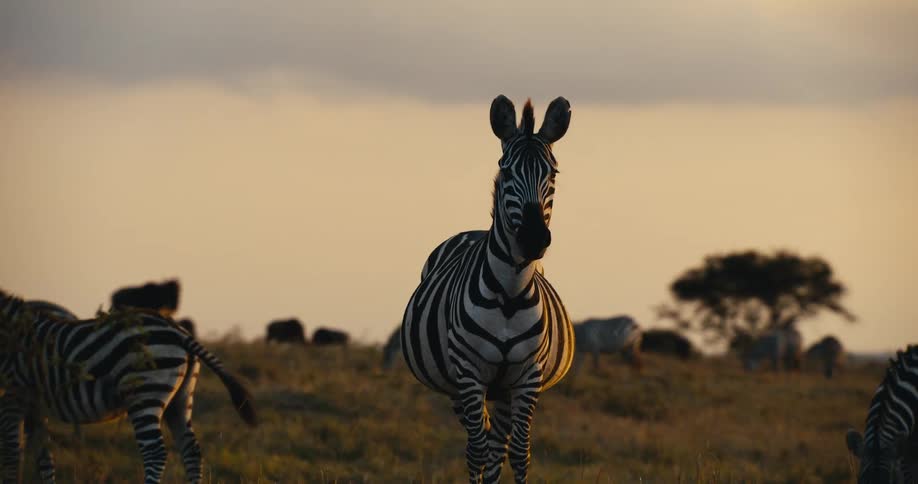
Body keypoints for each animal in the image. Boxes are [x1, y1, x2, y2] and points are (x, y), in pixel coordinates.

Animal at [0, 292, 257, 484]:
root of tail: (178, 330)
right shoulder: (33, 404)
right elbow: (42, 457)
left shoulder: (13, 396)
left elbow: (12, 455)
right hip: (181, 398)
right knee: (191, 451)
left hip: (145, 394)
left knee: (155, 453)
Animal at [401, 95, 574, 483]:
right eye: (506, 172)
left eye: (553, 174)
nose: (533, 238)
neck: (509, 292)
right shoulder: (469, 372)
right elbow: (477, 450)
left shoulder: (527, 377)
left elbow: (520, 453)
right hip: (459, 384)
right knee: (479, 446)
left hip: (505, 390)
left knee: (499, 447)